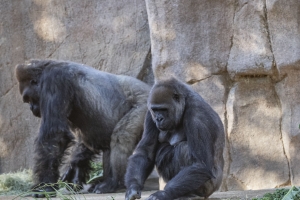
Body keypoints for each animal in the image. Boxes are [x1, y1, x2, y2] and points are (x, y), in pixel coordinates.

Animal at [15, 59, 151, 197]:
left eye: (28, 98)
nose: (31, 108)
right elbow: (88, 139)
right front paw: (74, 168)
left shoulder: (54, 80)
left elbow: (55, 136)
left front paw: (44, 185)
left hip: (145, 104)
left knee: (121, 136)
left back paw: (113, 182)